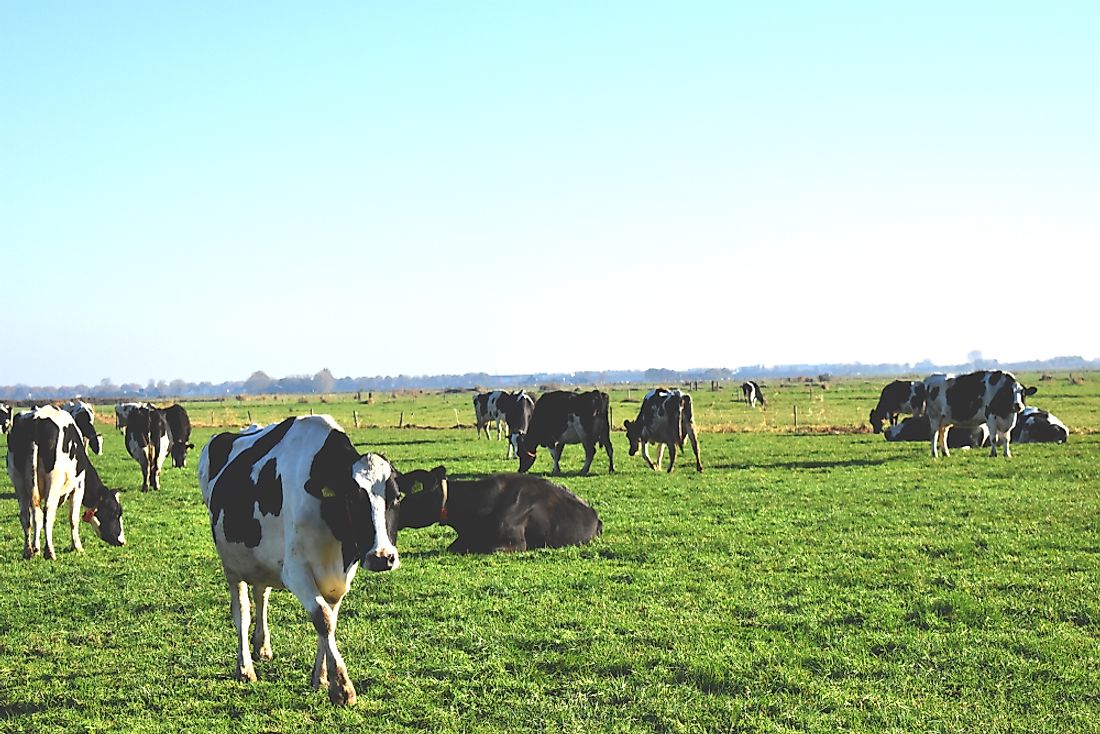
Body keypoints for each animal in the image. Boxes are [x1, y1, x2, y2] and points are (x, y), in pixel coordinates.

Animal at [6, 407, 125, 556]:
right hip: (54, 482)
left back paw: (28, 551)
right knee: (48, 513)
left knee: (27, 516)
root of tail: (36, 420)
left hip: (19, 483)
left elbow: (35, 517)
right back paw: (50, 552)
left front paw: (36, 548)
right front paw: (77, 546)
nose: (122, 541)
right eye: (116, 513)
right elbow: (73, 518)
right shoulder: (79, 487)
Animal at [198, 413, 404, 704]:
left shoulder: (340, 576)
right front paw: (342, 686)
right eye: (352, 498)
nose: (382, 557)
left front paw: (321, 678)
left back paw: (261, 647)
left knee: (262, 596)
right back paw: (245, 668)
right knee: (242, 612)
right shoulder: (295, 571)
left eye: (396, 497)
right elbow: (323, 618)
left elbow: (329, 621)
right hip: (232, 565)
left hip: (262, 561)